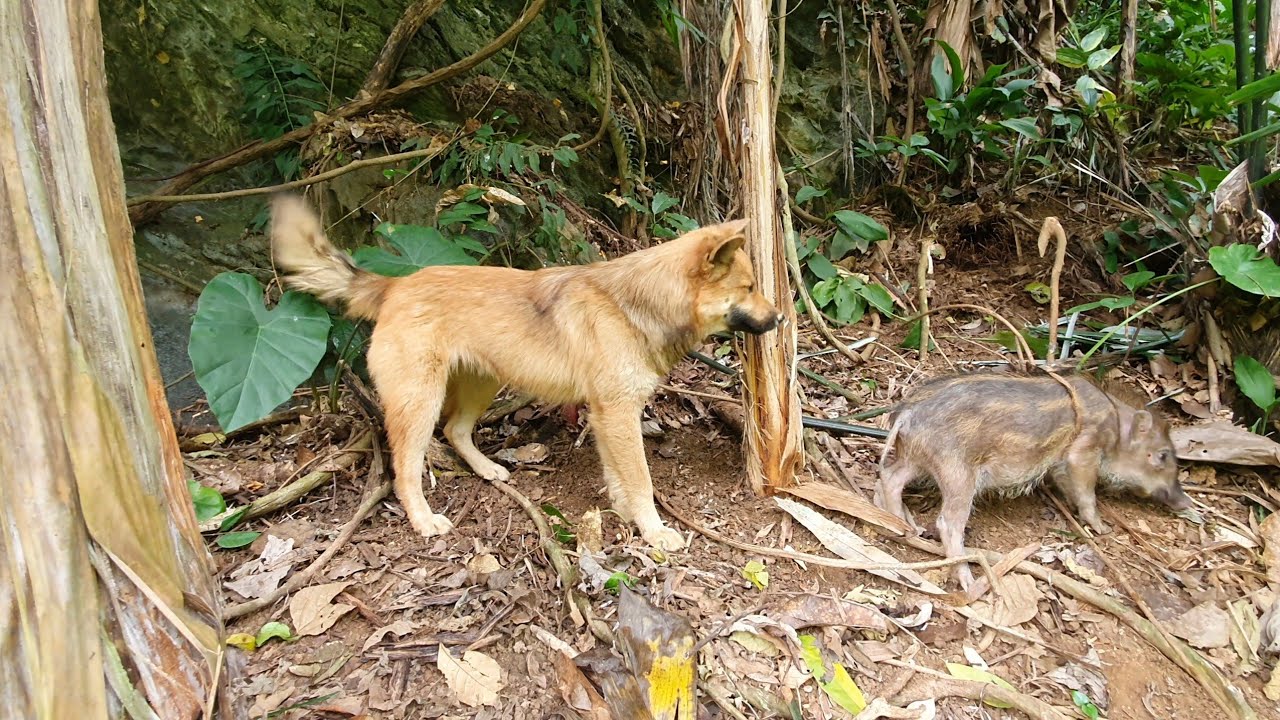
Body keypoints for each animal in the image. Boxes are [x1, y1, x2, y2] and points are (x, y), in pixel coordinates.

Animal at [874, 372, 1190, 589]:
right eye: (1162, 455)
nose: (1184, 502)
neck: (1115, 425)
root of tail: (907, 413)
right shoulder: (1083, 452)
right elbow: (1086, 492)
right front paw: (1101, 529)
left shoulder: (1060, 464)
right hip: (957, 472)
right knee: (947, 523)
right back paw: (967, 580)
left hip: (917, 458)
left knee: (890, 477)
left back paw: (902, 525)